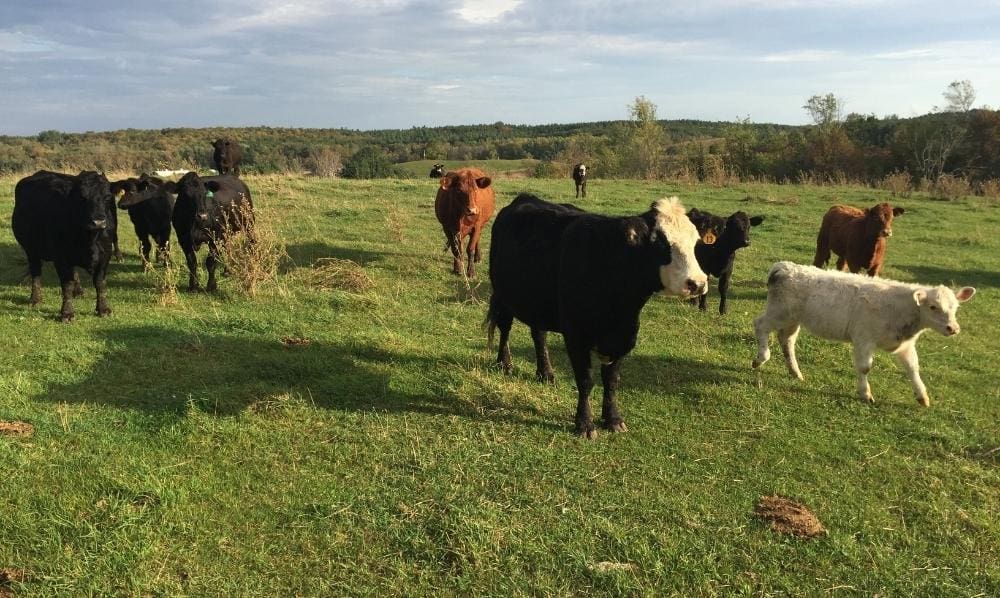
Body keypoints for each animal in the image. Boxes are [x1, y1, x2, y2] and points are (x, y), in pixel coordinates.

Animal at [11, 171, 117, 322]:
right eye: (82, 197)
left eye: (107, 196)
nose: (98, 222)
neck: (90, 238)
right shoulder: (61, 258)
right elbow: (67, 284)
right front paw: (67, 313)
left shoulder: (105, 255)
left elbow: (100, 283)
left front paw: (103, 309)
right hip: (31, 251)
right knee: (36, 273)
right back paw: (35, 299)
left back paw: (78, 291)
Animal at [486, 195, 708, 438]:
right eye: (660, 244)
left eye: (695, 242)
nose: (697, 283)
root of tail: (524, 198)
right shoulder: (576, 337)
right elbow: (585, 381)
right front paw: (584, 424)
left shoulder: (623, 337)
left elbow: (611, 381)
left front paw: (613, 419)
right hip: (503, 294)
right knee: (504, 327)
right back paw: (504, 363)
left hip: (538, 303)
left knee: (539, 335)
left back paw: (546, 372)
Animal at [752, 262, 976, 408]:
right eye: (933, 307)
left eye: (955, 307)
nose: (953, 328)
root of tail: (784, 267)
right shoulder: (863, 339)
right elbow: (865, 367)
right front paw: (865, 393)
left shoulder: (905, 346)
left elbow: (913, 368)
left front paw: (922, 396)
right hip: (778, 313)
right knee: (760, 325)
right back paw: (760, 358)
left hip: (792, 320)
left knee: (787, 341)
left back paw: (795, 372)